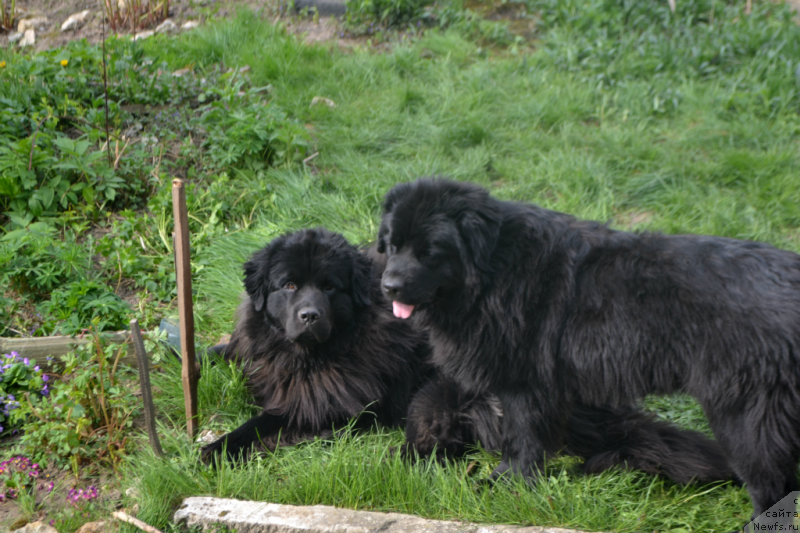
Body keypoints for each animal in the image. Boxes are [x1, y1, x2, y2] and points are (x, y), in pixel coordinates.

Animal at [202, 229, 736, 486]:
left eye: (330, 287)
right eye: (289, 285)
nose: (310, 315)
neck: (309, 353)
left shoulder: (327, 406)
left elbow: (264, 423)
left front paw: (215, 451)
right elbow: (228, 352)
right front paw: (204, 355)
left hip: (435, 398)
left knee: (433, 452)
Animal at [376, 177, 800, 520]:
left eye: (430, 253)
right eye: (392, 246)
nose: (388, 286)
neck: (491, 270)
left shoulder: (524, 382)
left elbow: (522, 438)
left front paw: (505, 483)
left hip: (745, 412)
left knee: (769, 481)